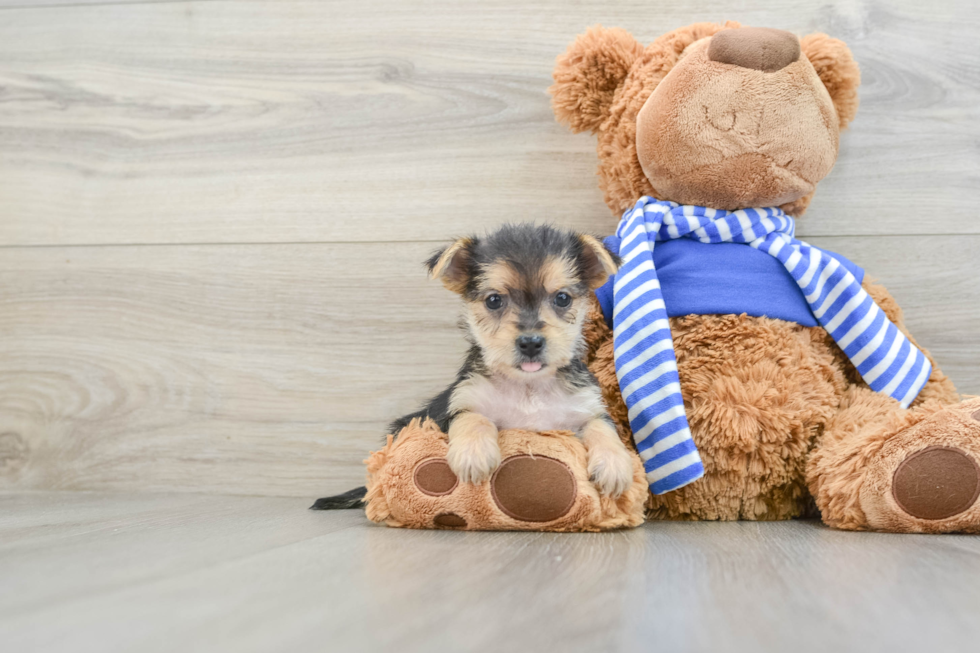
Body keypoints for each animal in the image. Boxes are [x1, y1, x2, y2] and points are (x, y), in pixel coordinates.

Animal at [314, 224, 636, 510]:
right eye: (494, 300)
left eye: (562, 298)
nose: (530, 342)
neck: (528, 388)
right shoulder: (457, 404)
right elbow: (472, 417)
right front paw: (474, 453)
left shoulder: (584, 409)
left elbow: (603, 427)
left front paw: (615, 465)